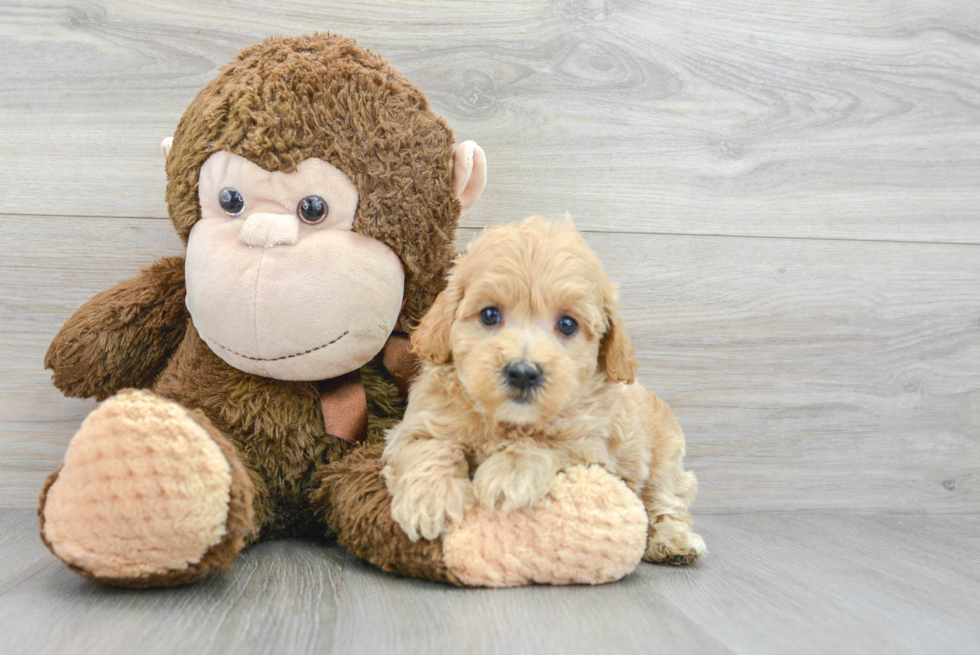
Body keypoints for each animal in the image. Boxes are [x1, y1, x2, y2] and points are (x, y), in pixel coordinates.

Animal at [382, 215, 704, 564]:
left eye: (567, 324)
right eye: (489, 314)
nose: (523, 373)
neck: (507, 421)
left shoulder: (590, 448)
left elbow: (548, 445)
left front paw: (509, 473)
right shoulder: (413, 428)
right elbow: (430, 447)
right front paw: (430, 498)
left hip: (664, 457)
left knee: (666, 500)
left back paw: (673, 541)